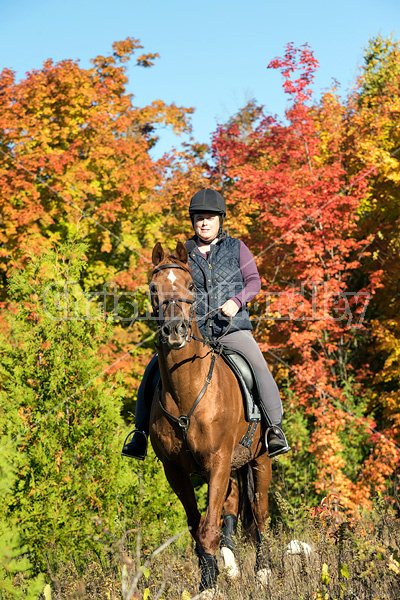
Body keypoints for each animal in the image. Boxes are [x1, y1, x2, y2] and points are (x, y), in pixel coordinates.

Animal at [148, 241, 274, 592]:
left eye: (191, 286)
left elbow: (208, 528)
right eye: (153, 289)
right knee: (230, 508)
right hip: (231, 467)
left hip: (260, 460)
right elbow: (198, 528)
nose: (174, 331)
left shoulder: (218, 460)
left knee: (260, 513)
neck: (187, 392)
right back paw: (230, 565)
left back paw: (263, 571)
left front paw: (210, 585)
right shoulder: (175, 470)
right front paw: (210, 579)